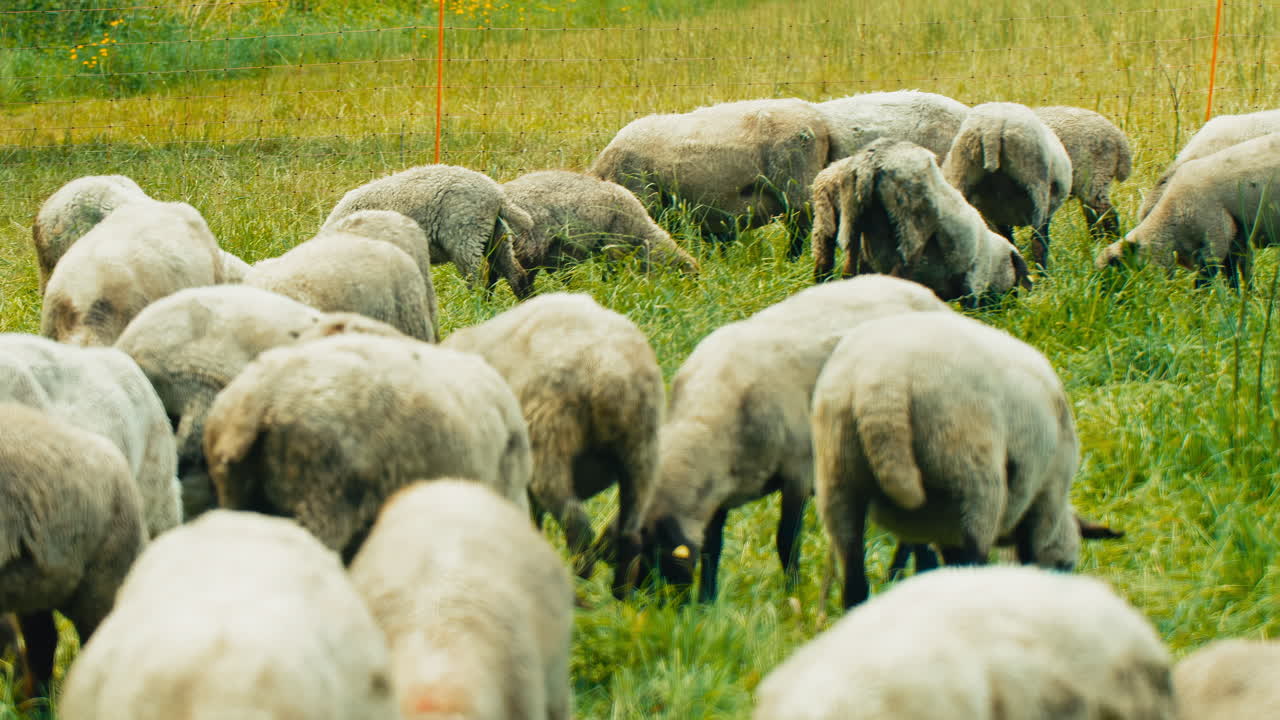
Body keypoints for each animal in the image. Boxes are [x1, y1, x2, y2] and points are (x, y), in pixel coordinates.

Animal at [442, 292, 664, 589]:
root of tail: (607, 370)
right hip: (642, 449)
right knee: (630, 531)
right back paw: (619, 592)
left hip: (550, 438)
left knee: (576, 522)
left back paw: (580, 579)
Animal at [622, 275, 951, 601]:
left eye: (654, 558)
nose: (640, 607)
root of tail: (930, 296)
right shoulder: (719, 486)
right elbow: (712, 546)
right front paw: (707, 601)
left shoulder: (798, 473)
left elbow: (786, 541)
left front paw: (792, 595)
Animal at [810, 138, 1031, 305]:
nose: (1010, 304)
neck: (993, 256)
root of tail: (873, 160)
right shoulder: (973, 278)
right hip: (910, 231)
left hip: (851, 221)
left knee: (846, 267)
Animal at [812, 311, 1080, 609]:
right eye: (1065, 567)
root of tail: (883, 387)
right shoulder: (1046, 500)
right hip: (968, 472)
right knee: (971, 559)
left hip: (839, 473)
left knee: (854, 579)